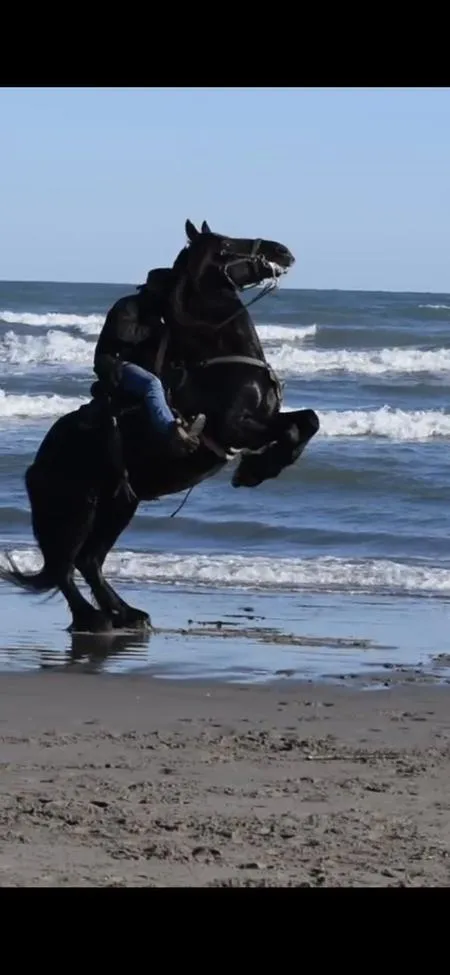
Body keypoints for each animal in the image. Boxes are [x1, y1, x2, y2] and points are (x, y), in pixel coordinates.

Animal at [0, 218, 319, 633]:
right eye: (227, 245)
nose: (282, 250)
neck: (219, 357)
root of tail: (37, 465)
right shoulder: (235, 427)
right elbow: (294, 429)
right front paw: (252, 471)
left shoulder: (265, 419)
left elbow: (307, 421)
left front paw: (258, 468)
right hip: (78, 510)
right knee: (66, 567)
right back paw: (95, 618)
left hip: (119, 506)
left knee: (88, 561)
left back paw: (125, 613)